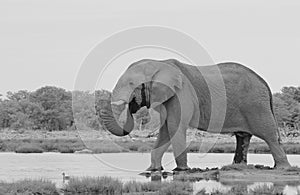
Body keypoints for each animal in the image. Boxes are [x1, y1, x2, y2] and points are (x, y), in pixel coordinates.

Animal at [98, 58, 290, 171]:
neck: (158, 63)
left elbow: (175, 127)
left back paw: (282, 168)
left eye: (132, 84)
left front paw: (181, 171)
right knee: (243, 137)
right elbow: (165, 130)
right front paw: (152, 170)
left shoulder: (181, 93)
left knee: (269, 135)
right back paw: (238, 167)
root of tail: (265, 83)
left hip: (256, 105)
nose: (131, 105)